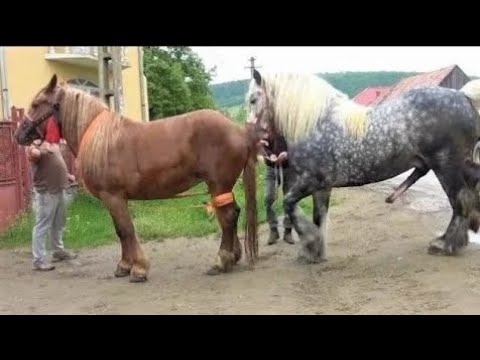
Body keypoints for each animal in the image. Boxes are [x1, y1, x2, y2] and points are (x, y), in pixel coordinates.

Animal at [15, 76, 260, 282]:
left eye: (37, 104)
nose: (19, 135)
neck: (99, 137)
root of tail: (239, 131)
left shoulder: (113, 196)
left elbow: (126, 230)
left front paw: (138, 269)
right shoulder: (114, 199)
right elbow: (120, 231)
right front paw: (124, 266)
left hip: (218, 184)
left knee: (227, 218)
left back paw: (221, 261)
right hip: (221, 187)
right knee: (231, 215)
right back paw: (233, 257)